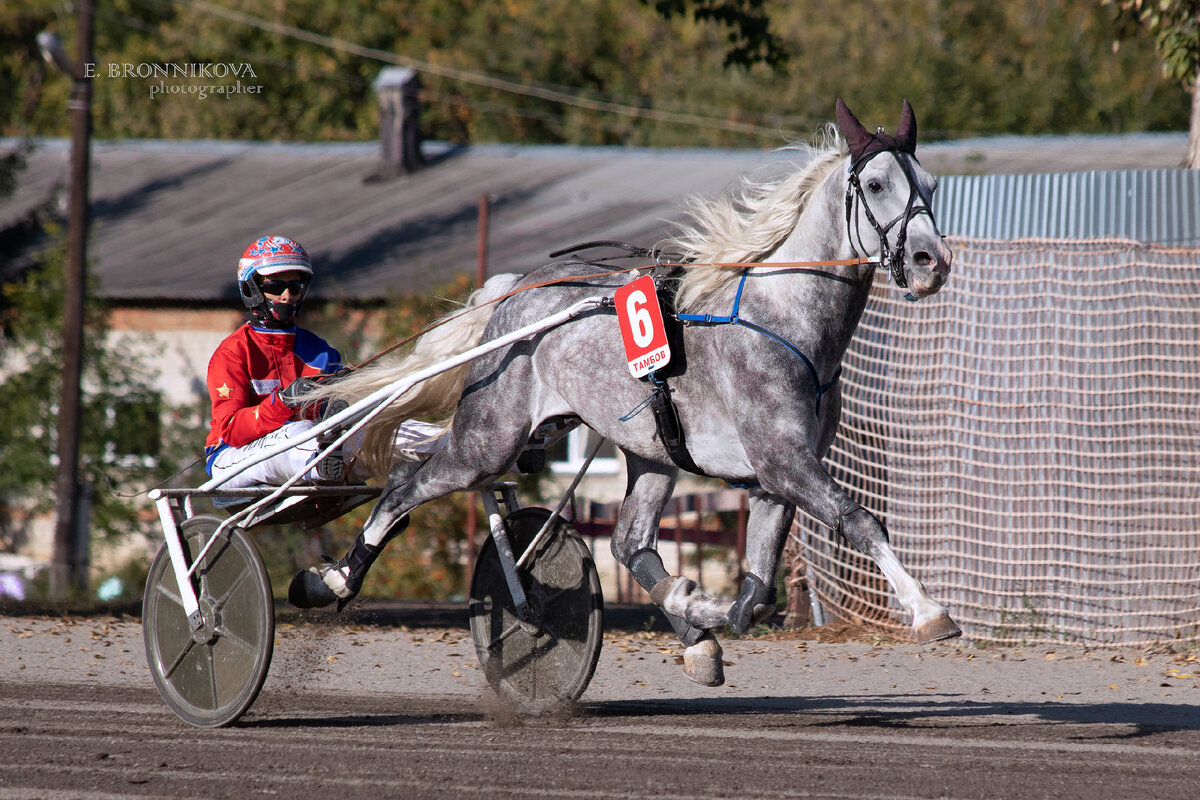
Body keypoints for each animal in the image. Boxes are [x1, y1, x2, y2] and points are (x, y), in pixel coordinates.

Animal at [295, 100, 960, 686]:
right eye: (875, 182)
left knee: (630, 543)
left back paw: (692, 631)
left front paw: (701, 611)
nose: (932, 260)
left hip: (649, 453)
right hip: (488, 439)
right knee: (407, 486)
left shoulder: (775, 477)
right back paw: (334, 579)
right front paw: (929, 611)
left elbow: (756, 595)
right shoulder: (784, 463)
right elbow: (860, 521)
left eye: (930, 183)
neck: (783, 320)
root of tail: (513, 291)